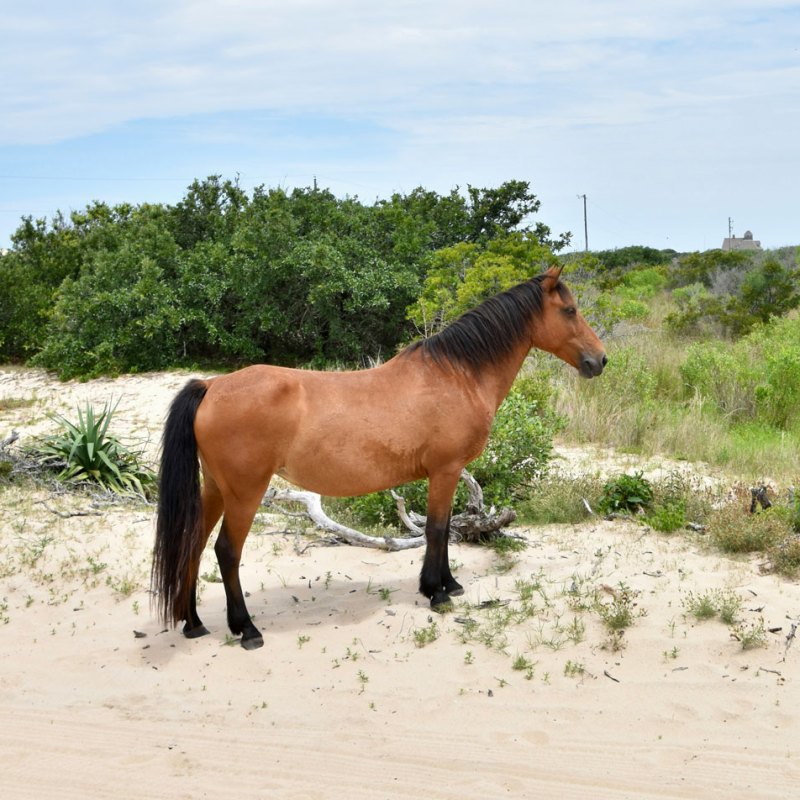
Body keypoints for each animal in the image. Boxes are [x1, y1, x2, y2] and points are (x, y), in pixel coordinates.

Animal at [152, 265, 606, 649]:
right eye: (570, 310)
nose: (600, 360)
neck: (456, 374)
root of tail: (212, 385)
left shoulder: (444, 473)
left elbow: (441, 529)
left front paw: (448, 585)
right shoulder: (445, 470)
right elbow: (437, 529)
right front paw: (437, 592)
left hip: (215, 488)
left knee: (193, 544)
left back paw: (193, 623)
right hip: (245, 493)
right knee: (226, 552)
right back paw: (246, 629)